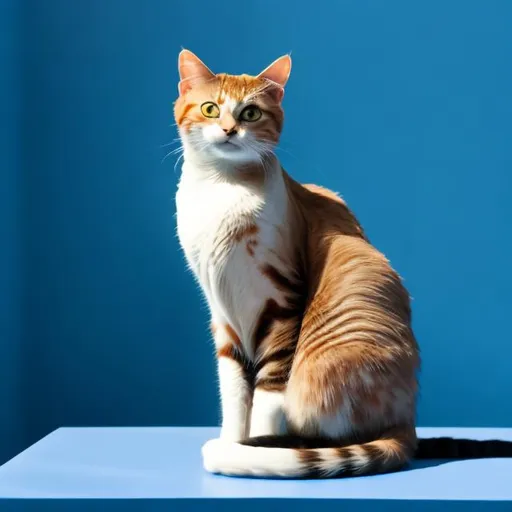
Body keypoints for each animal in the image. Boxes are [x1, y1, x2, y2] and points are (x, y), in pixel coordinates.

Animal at [173, 50, 512, 478]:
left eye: (250, 113)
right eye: (210, 108)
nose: (230, 130)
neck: (221, 189)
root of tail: (407, 425)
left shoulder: (281, 299)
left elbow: (267, 393)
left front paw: (251, 448)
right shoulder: (221, 312)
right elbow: (233, 392)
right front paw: (234, 440)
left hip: (323, 367)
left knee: (327, 436)